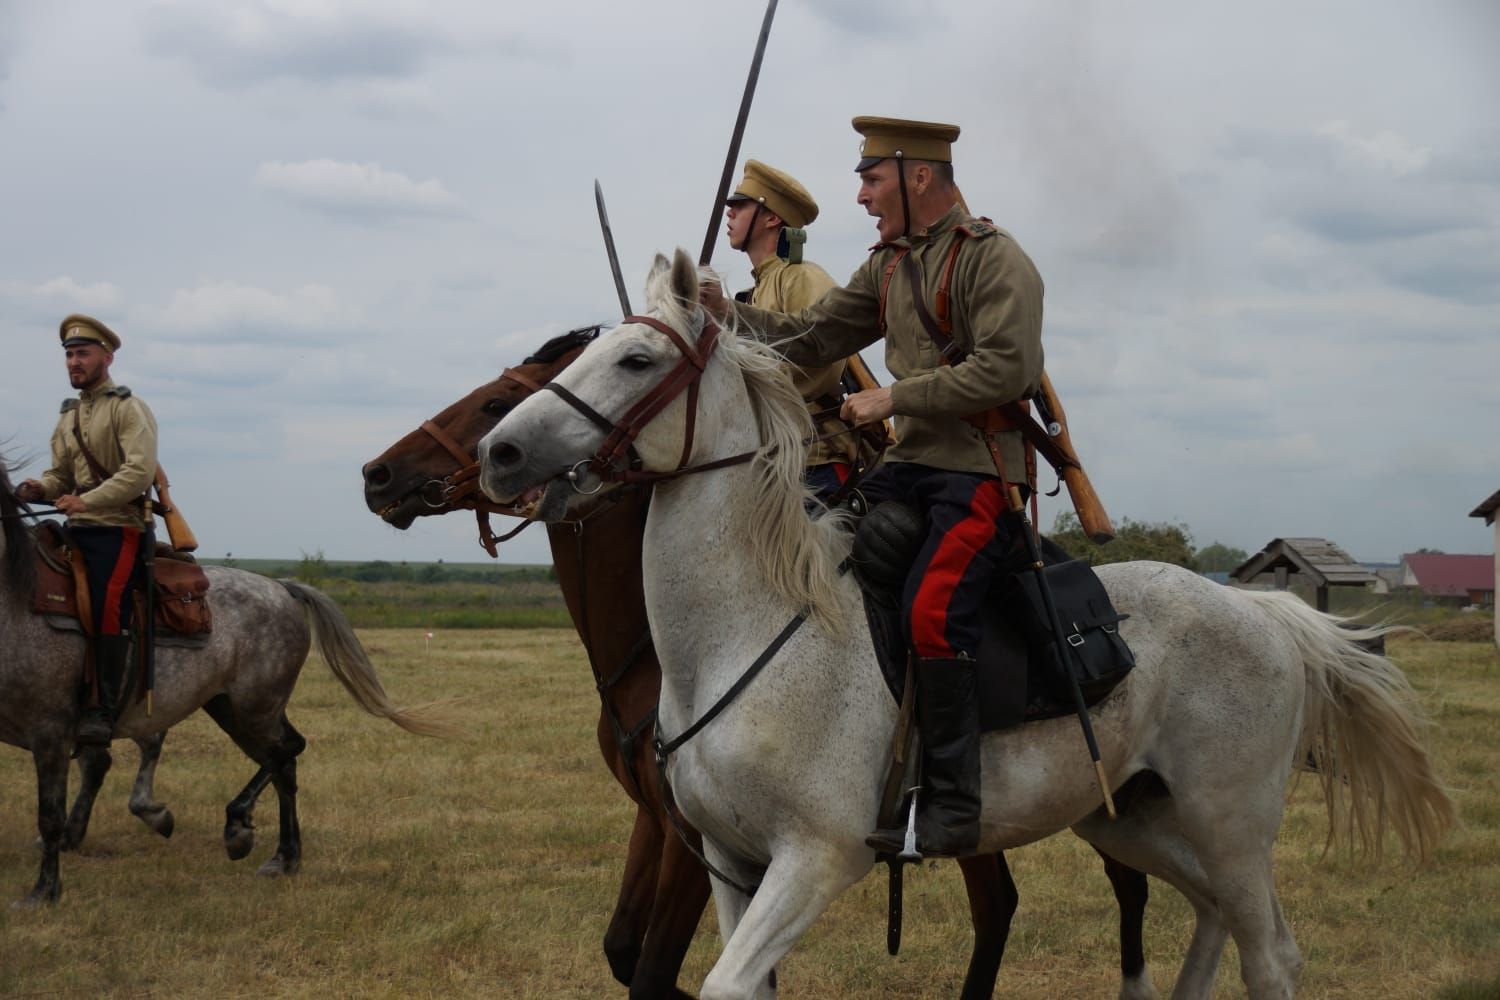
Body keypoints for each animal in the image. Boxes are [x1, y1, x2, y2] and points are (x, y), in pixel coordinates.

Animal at [360, 325, 1146, 995]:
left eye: (496, 400)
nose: (378, 474)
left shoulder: (701, 845)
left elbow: (651, 970)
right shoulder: (667, 819)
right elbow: (623, 951)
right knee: (1002, 904)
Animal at [477, 250, 1452, 1000]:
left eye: (637, 360)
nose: (500, 452)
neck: (746, 633)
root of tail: (1262, 611)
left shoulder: (813, 860)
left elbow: (720, 982)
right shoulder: (726, 860)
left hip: (1232, 822)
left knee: (1271, 957)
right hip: (1131, 819)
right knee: (1213, 914)